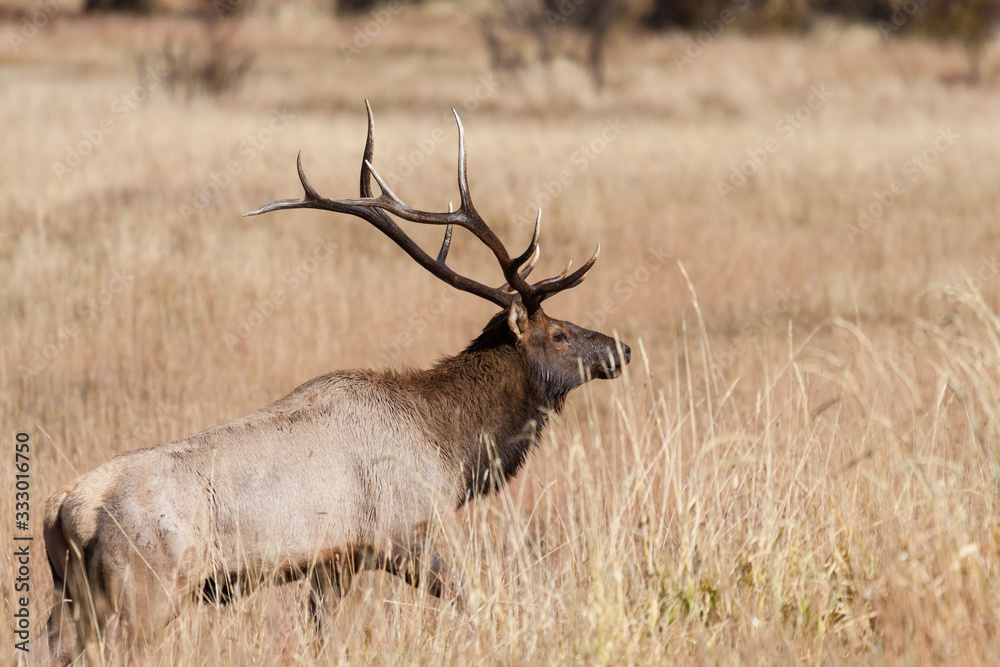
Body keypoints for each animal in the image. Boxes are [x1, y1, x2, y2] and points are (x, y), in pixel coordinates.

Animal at [43, 101, 631, 664]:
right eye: (559, 333)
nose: (619, 349)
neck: (454, 447)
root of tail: (69, 510)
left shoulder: (332, 562)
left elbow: (322, 634)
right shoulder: (400, 536)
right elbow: (471, 598)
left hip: (73, 595)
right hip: (144, 594)